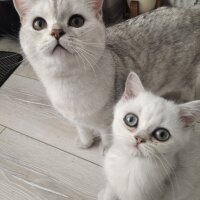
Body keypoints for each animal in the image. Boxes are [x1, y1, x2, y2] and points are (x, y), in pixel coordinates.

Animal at [13, 0, 200, 150]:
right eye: (39, 24)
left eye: (76, 21)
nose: (57, 32)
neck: (68, 85)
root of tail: (190, 11)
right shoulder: (78, 121)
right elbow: (84, 131)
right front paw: (85, 143)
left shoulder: (109, 123)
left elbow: (108, 139)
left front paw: (107, 150)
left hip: (186, 80)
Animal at [100, 72, 200, 200]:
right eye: (131, 119)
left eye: (162, 134)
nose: (139, 138)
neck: (131, 165)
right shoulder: (112, 183)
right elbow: (109, 192)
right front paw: (104, 194)